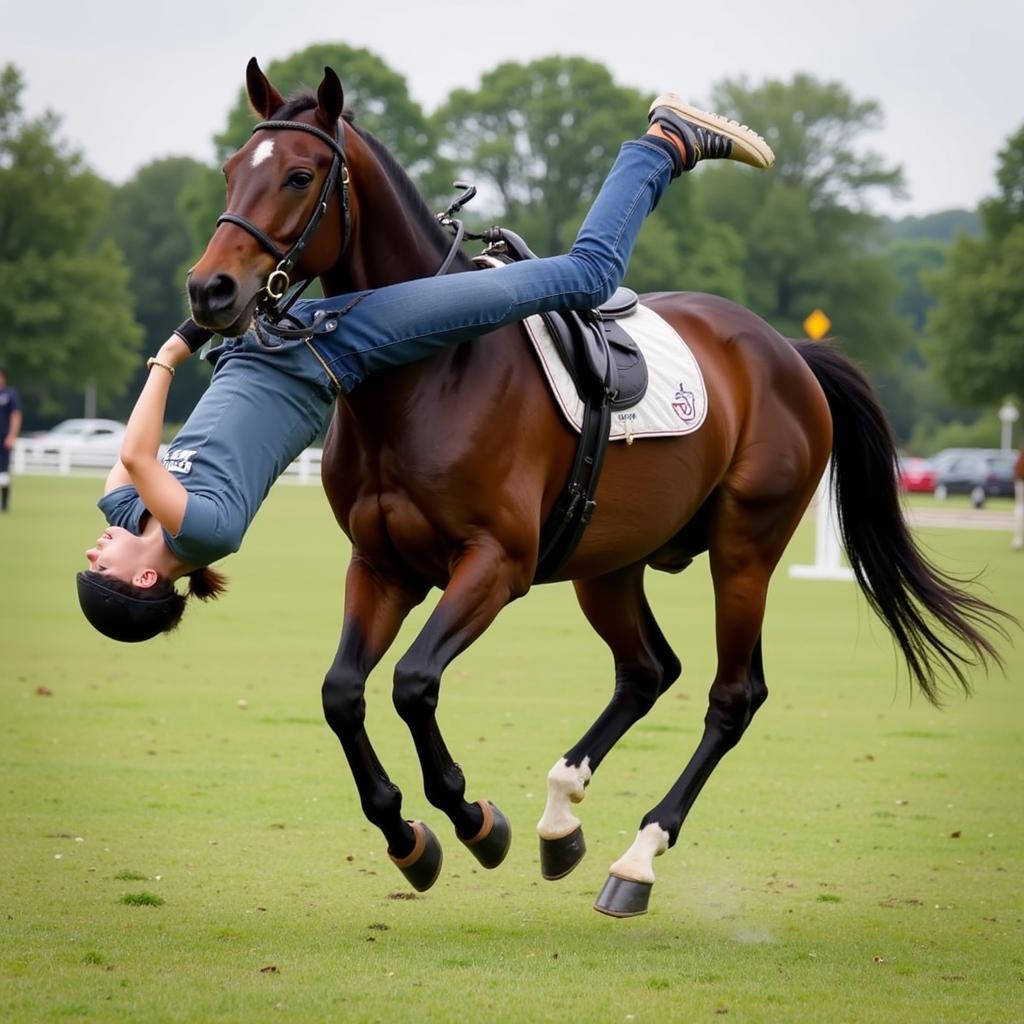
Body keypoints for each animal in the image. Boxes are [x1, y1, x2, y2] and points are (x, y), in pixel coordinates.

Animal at [184, 59, 1007, 917]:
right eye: (231, 170)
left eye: (299, 175)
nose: (210, 290)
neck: (422, 364)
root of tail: (786, 352)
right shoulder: (382, 568)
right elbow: (343, 693)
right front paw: (406, 834)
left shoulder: (494, 566)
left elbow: (413, 684)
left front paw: (472, 817)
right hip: (607, 566)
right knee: (647, 671)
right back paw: (560, 816)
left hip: (743, 553)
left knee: (731, 695)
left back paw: (637, 857)